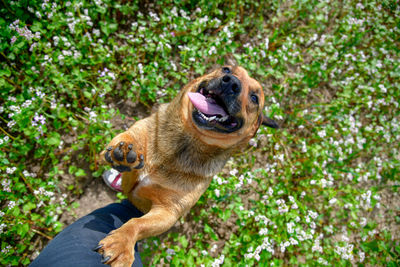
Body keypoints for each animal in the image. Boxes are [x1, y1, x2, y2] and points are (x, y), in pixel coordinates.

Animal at [95, 65, 276, 267]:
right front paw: (125, 151)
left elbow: (137, 224)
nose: (231, 82)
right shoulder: (141, 134)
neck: (186, 143)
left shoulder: (168, 212)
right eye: (227, 69)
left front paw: (122, 242)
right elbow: (134, 139)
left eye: (254, 98)